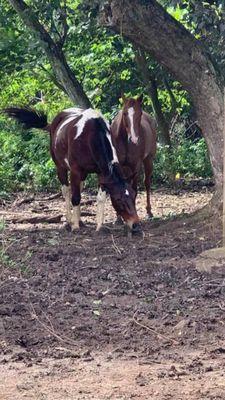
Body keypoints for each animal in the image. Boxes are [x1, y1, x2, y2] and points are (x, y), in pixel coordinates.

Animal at [3, 106, 139, 231]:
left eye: (134, 196)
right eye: (119, 199)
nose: (135, 224)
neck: (91, 135)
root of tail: (53, 123)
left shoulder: (103, 173)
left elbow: (100, 198)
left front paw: (99, 226)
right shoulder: (75, 171)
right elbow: (75, 197)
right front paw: (75, 227)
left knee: (78, 189)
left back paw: (79, 220)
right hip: (60, 167)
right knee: (67, 191)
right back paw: (70, 220)